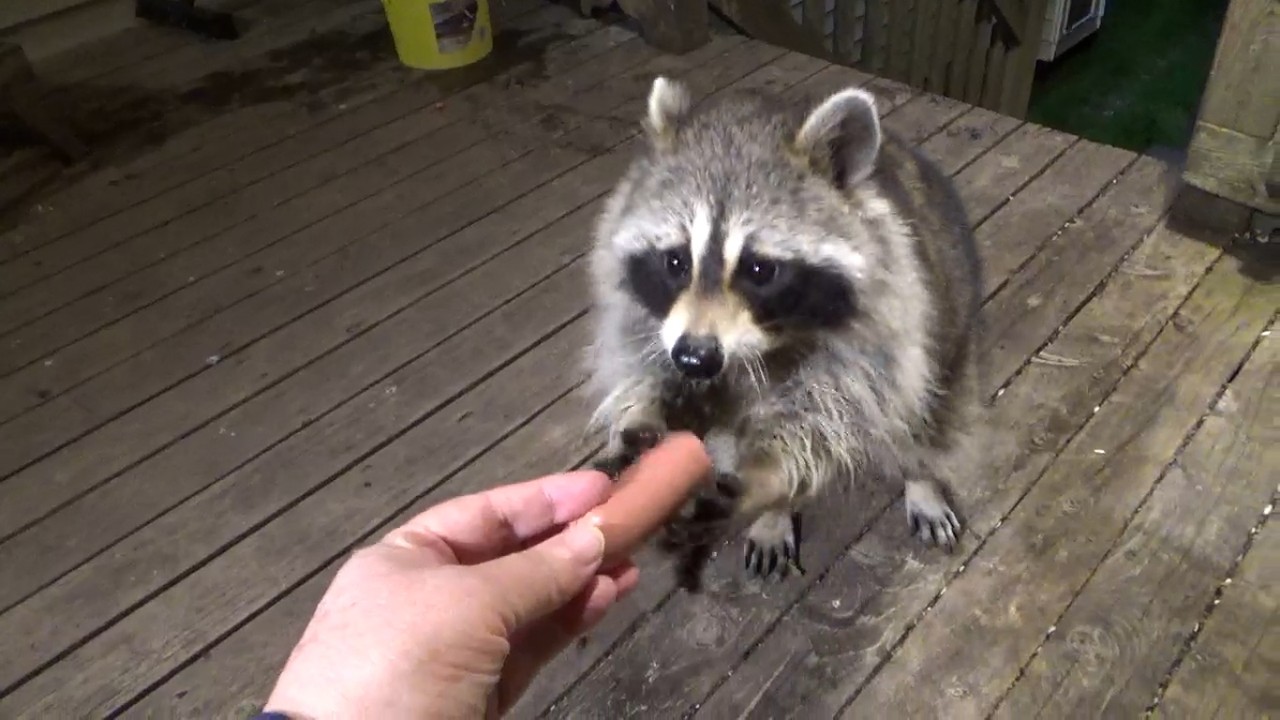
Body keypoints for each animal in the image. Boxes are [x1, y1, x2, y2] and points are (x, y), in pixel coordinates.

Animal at [582, 75, 984, 583]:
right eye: (675, 261)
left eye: (759, 269)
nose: (695, 357)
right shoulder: (647, 312)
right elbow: (641, 353)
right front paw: (643, 412)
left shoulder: (885, 313)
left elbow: (833, 411)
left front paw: (766, 477)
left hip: (949, 316)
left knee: (922, 411)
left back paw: (920, 476)